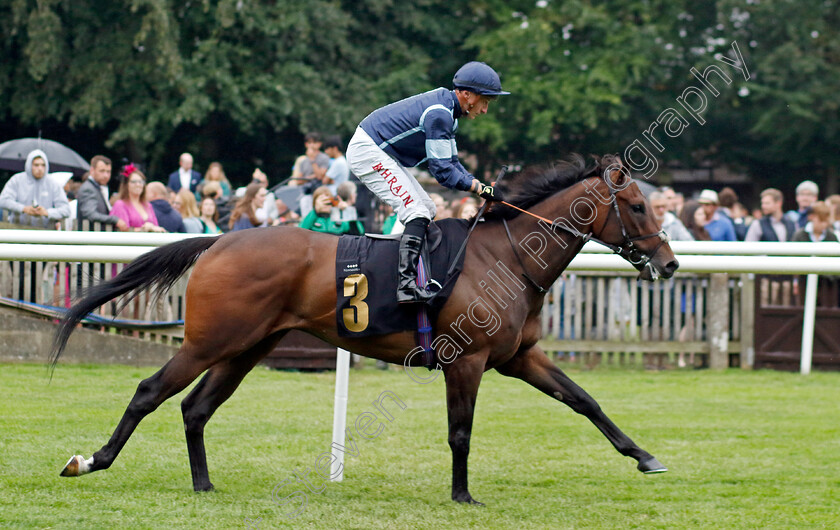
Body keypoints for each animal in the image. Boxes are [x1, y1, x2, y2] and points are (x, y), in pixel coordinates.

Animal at [54, 154, 676, 504]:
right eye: (638, 206)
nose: (669, 264)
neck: (507, 256)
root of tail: (221, 238)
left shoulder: (520, 357)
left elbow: (585, 401)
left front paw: (645, 457)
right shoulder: (468, 361)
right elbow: (460, 432)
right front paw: (462, 496)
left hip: (247, 347)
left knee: (195, 407)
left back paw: (203, 486)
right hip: (210, 340)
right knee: (149, 392)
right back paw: (91, 460)